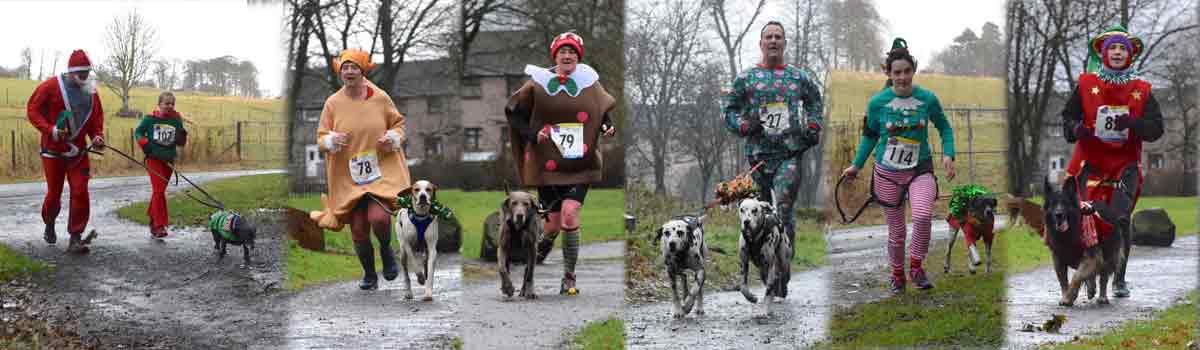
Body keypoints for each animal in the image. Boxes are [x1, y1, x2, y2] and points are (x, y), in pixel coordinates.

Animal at [1041, 166, 1123, 306]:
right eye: (1053, 204)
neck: (1069, 233)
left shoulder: (1092, 257)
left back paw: (1102, 297)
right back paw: (1091, 290)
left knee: (1103, 277)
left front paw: (1069, 297)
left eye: (1065, 203)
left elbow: (1077, 276)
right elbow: (1063, 281)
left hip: (1108, 255)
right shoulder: (1058, 259)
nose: (1058, 215)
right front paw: (1066, 296)